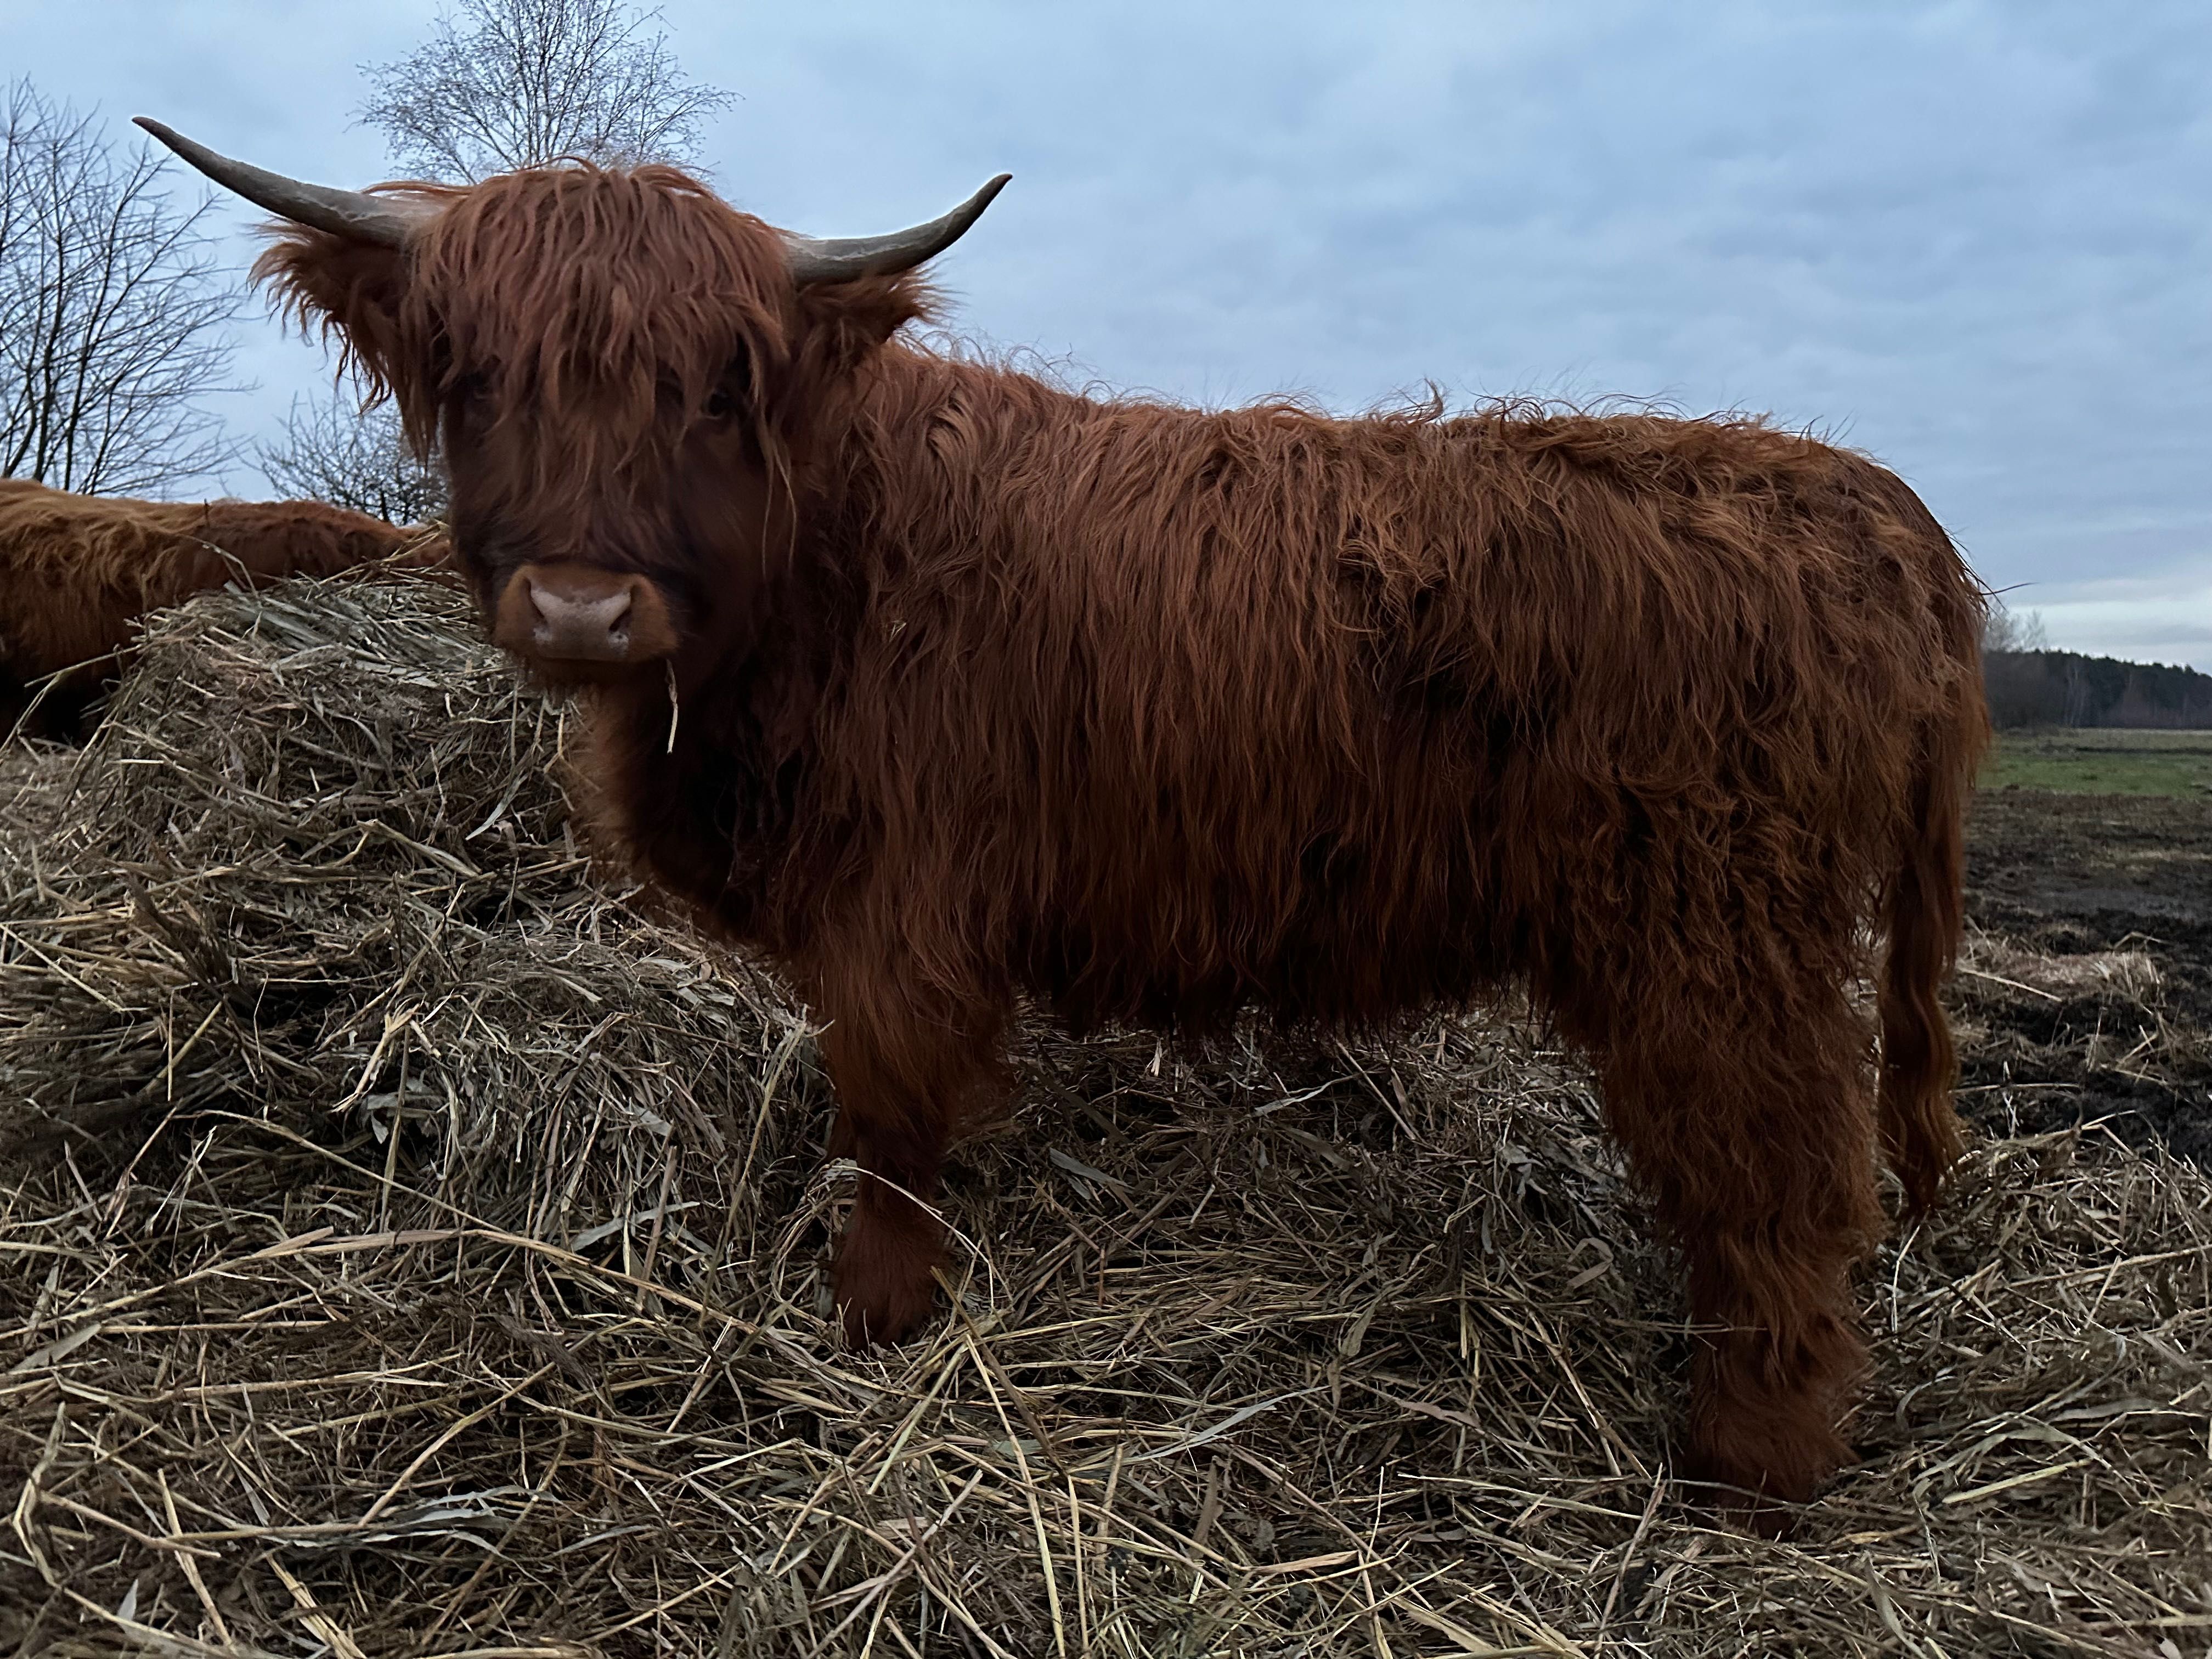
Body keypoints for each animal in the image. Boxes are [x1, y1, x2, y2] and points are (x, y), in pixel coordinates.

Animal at [147, 120, 1999, 1531]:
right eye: (475, 377)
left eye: (717, 393)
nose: (586, 609)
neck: (832, 560)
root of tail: (1863, 499)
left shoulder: (904, 907)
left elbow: (889, 1119)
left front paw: (878, 1321)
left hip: (1715, 936)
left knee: (1781, 1182)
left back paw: (1751, 1466)